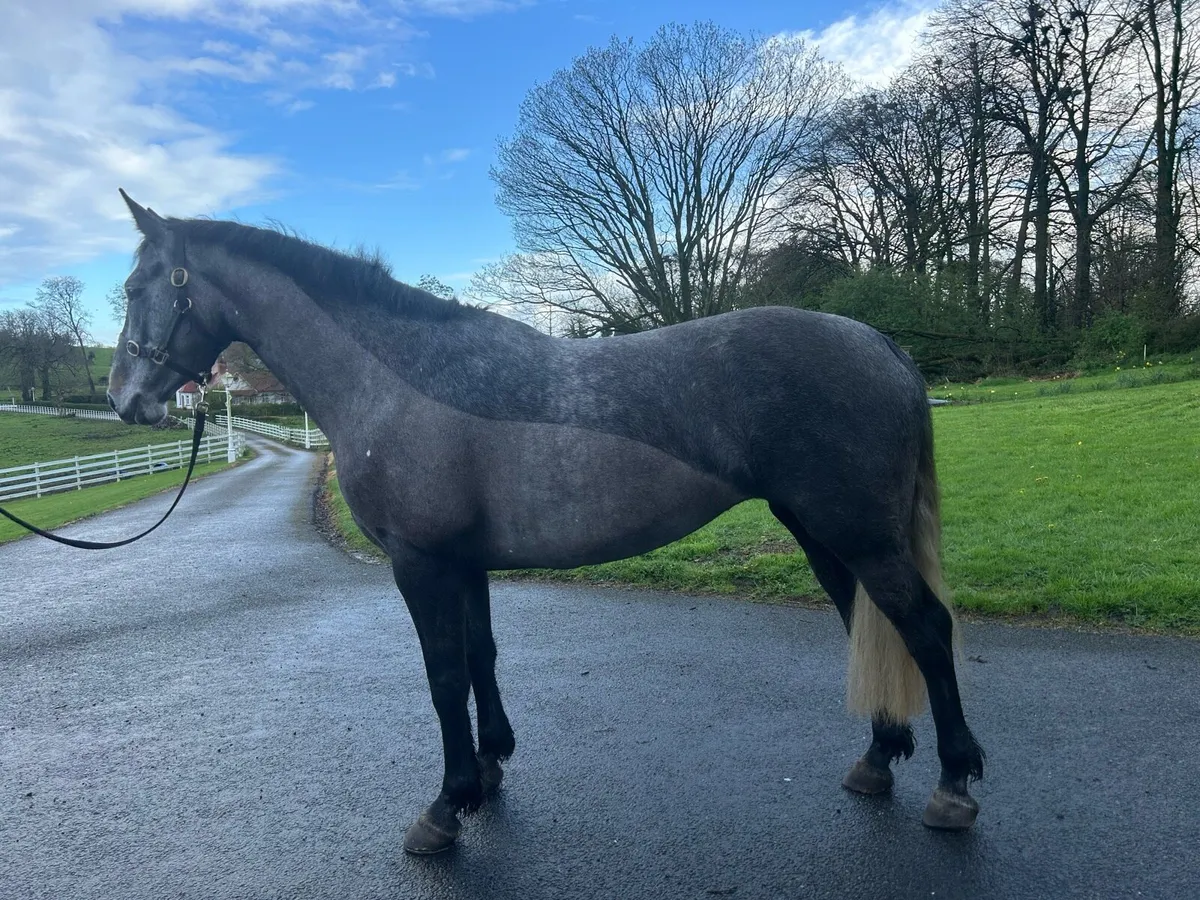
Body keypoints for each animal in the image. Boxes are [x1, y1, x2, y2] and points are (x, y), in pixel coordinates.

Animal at [106, 191, 985, 854]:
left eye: (138, 286)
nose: (125, 399)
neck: (397, 382)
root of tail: (880, 345)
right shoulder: (464, 563)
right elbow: (480, 658)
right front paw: (490, 770)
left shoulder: (420, 562)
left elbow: (442, 675)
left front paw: (444, 808)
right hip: (823, 532)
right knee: (870, 623)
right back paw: (878, 760)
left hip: (857, 533)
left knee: (926, 628)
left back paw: (953, 785)